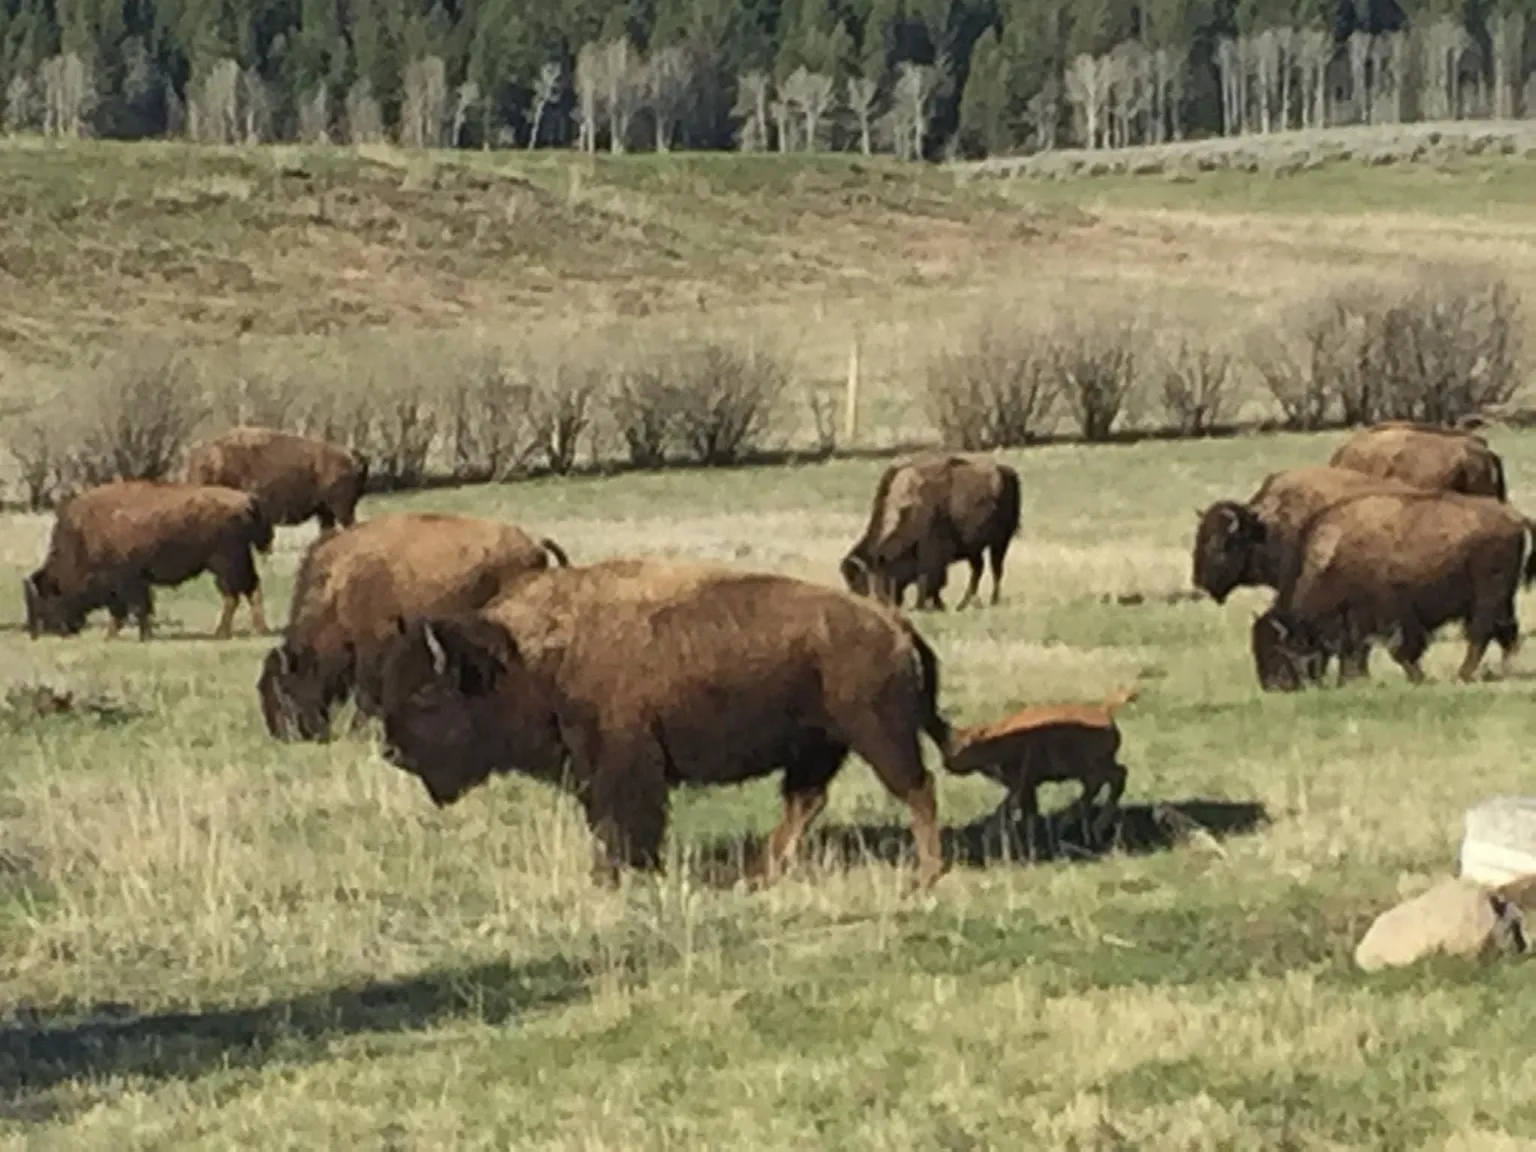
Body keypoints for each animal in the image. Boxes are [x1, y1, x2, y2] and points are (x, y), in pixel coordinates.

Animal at [24, 479, 273, 641]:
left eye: (46, 599)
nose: (40, 632)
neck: (82, 534)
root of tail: (246, 499)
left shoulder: (127, 582)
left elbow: (133, 608)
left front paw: (130, 635)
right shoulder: (132, 583)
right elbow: (133, 608)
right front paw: (120, 635)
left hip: (225, 563)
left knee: (234, 594)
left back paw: (223, 633)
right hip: (236, 562)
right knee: (251, 588)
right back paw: (258, 630)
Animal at [257, 512, 569, 741]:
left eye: (283, 690)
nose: (283, 736)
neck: (338, 585)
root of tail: (535, 546)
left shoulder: (373, 645)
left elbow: (366, 694)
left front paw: (358, 732)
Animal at [376, 558, 951, 891]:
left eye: (426, 693)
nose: (391, 752)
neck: (526, 658)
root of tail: (894, 625)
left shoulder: (620, 765)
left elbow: (623, 822)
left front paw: (617, 876)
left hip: (879, 735)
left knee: (917, 789)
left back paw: (924, 875)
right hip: (820, 747)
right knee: (805, 802)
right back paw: (755, 874)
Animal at [841, 452, 1021, 611]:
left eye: (863, 582)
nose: (882, 605)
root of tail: (1007, 472)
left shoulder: (933, 553)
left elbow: (930, 580)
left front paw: (925, 605)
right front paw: (936, 604)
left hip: (1000, 542)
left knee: (996, 569)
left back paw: (993, 600)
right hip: (974, 549)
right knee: (978, 570)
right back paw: (963, 604)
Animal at [1252, 490, 1536, 688]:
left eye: (1276, 650)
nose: (1273, 686)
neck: (1332, 554)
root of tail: (1515, 518)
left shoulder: (1388, 615)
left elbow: (1396, 649)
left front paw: (1417, 677)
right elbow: (1356, 651)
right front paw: (1352, 680)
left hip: (1487, 597)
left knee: (1481, 633)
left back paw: (1463, 674)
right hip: (1502, 600)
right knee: (1507, 632)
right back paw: (1503, 671)